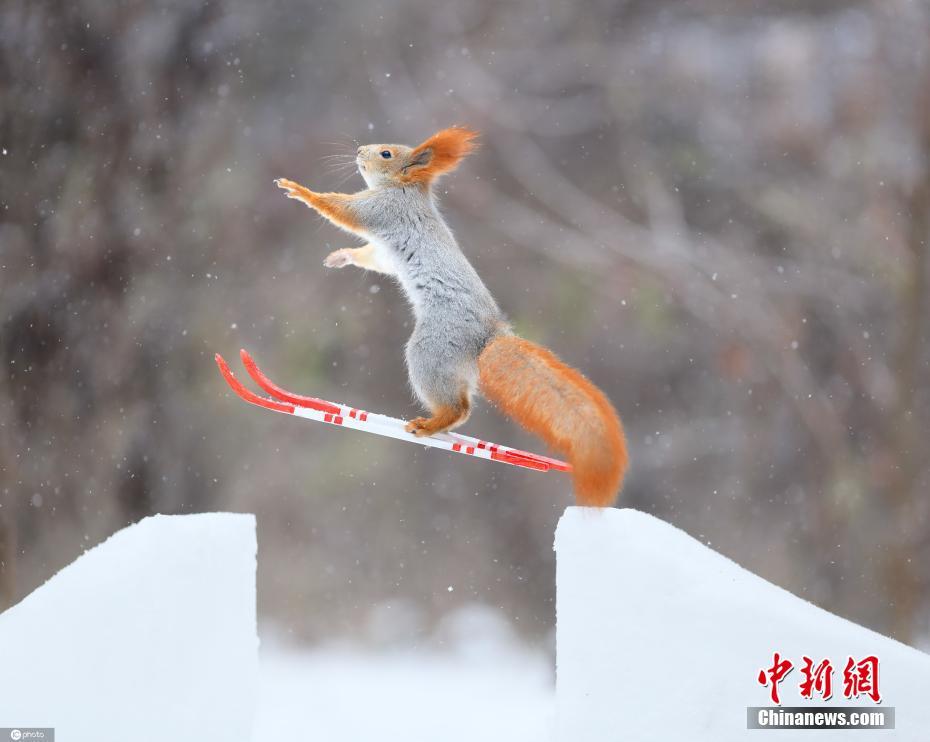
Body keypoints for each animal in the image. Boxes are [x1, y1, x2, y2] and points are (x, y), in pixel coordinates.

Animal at [272, 129, 628, 512]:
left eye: (386, 154)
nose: (359, 150)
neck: (405, 189)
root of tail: (488, 336)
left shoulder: (382, 210)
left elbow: (341, 209)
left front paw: (299, 190)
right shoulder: (384, 251)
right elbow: (373, 257)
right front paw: (341, 256)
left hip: (431, 350)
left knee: (459, 408)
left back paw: (428, 426)